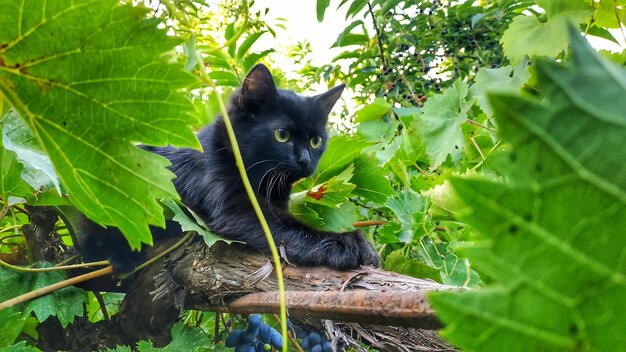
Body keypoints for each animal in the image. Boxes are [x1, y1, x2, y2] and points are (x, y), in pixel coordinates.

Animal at [79, 64, 380, 272]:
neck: (261, 180)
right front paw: (347, 243)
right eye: (281, 135)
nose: (305, 160)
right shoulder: (234, 209)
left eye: (316, 141)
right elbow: (291, 231)